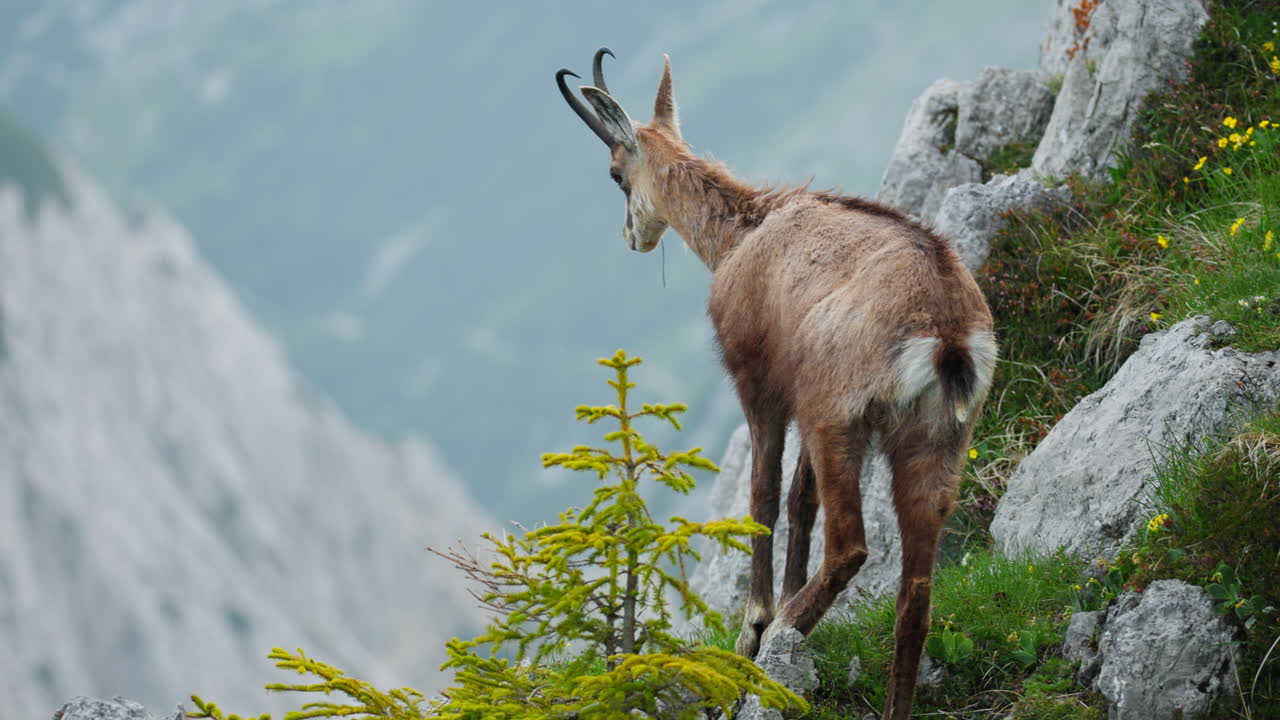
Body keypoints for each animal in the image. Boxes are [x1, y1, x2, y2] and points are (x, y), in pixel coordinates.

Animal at [555, 49, 996, 720]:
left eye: (614, 175)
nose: (632, 237)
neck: (742, 234)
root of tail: (946, 333)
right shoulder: (795, 402)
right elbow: (798, 500)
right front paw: (775, 610)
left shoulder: (760, 384)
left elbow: (763, 495)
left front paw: (756, 623)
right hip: (936, 438)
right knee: (915, 592)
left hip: (837, 415)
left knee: (852, 546)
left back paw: (784, 632)